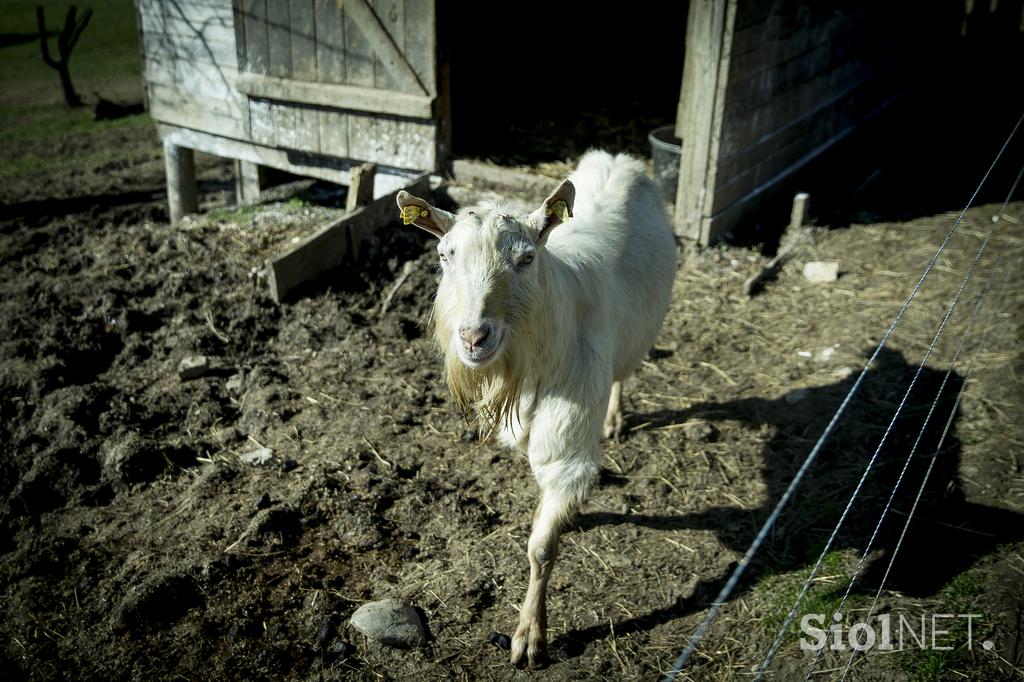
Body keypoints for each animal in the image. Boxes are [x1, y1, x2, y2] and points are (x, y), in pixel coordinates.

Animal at [395, 150, 675, 663]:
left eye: (526, 259)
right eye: (445, 256)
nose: (473, 337)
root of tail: (617, 158)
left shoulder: (568, 445)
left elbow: (541, 548)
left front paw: (529, 635)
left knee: (623, 374)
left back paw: (615, 417)